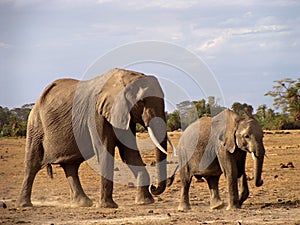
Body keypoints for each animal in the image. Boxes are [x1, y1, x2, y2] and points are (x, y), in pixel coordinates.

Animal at [17, 68, 173, 207]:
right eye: (141, 101)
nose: (154, 187)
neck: (124, 78)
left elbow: (130, 153)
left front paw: (145, 202)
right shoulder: (96, 114)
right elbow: (105, 151)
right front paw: (108, 206)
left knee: (71, 166)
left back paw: (83, 204)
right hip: (35, 125)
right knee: (32, 164)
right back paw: (24, 205)